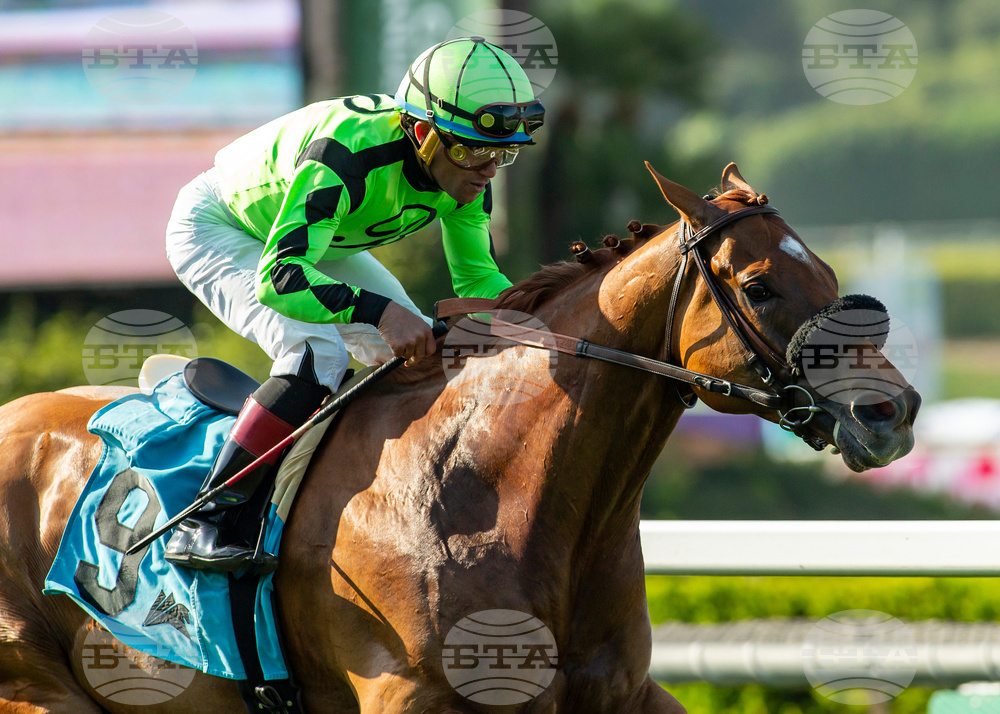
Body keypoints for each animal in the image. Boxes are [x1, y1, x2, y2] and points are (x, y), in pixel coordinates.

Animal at [0, 163, 920, 713]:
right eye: (760, 286)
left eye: (827, 274)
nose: (894, 412)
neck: (494, 490)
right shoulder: (411, 697)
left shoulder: (623, 694)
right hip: (37, 687)